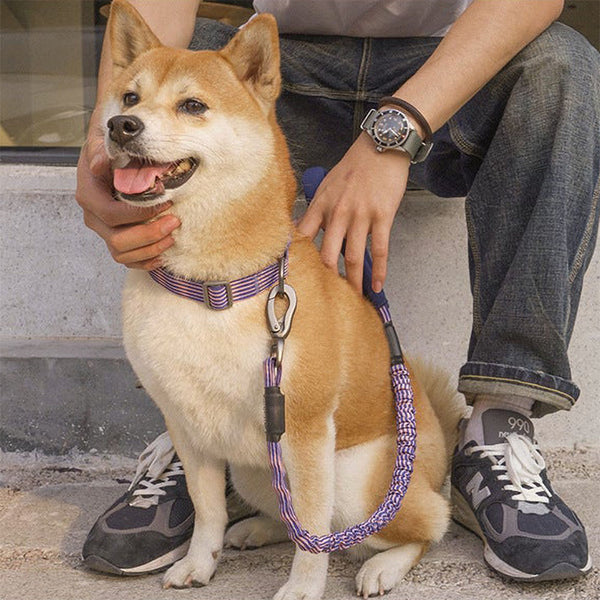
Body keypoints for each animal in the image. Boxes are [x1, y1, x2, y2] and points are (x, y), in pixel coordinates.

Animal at [103, 2, 466, 596]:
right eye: (129, 98)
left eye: (192, 105)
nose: (120, 126)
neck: (212, 286)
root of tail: (434, 444)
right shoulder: (188, 426)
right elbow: (208, 511)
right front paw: (199, 563)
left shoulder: (307, 430)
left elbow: (313, 531)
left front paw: (302, 587)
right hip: (252, 470)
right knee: (281, 511)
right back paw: (254, 530)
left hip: (358, 481)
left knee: (421, 526)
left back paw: (383, 565)